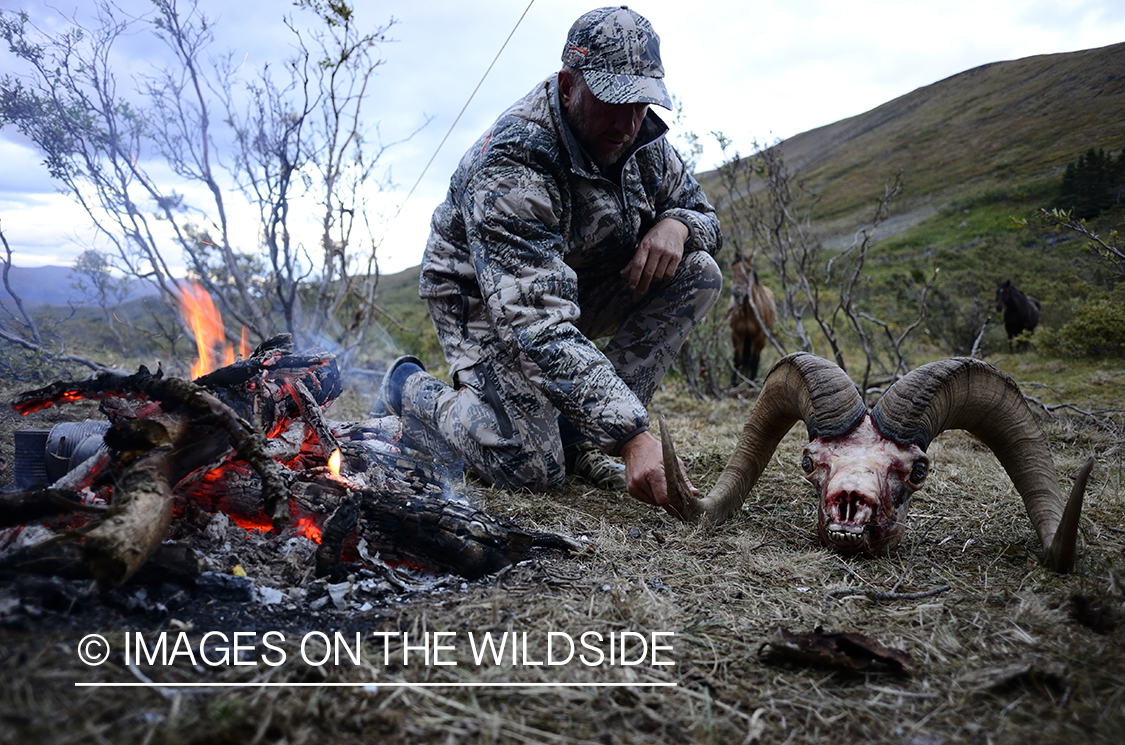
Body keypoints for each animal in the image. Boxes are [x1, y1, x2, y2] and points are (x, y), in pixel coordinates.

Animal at [724, 256, 778, 384]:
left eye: (748, 270)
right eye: (733, 270)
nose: (738, 292)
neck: (748, 312)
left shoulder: (758, 337)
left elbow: (753, 360)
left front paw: (752, 382)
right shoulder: (737, 335)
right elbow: (738, 359)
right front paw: (734, 383)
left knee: (756, 358)